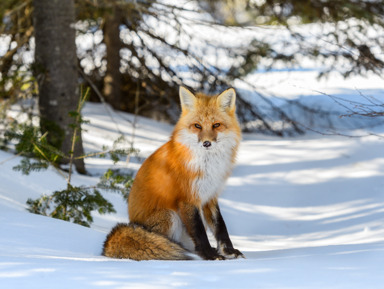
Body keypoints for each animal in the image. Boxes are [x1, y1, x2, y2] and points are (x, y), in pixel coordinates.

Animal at [103, 86, 243, 260]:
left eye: (216, 125)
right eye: (197, 126)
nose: (206, 143)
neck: (207, 165)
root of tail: (132, 222)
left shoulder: (210, 196)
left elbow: (220, 227)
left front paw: (228, 251)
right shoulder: (188, 198)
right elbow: (199, 232)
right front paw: (210, 255)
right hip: (170, 216)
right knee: (166, 242)